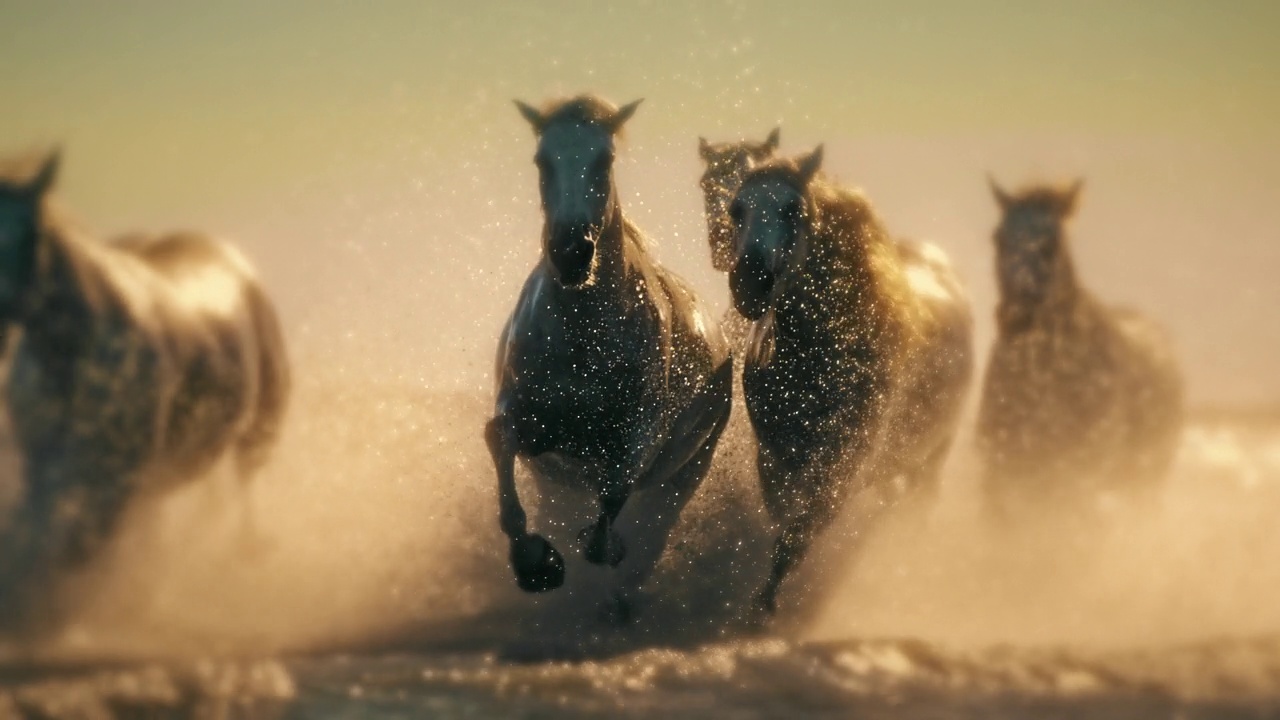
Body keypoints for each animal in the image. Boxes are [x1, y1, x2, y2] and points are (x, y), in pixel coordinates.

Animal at [0, 148, 290, 625]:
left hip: (257, 429)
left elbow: (80, 551)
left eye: (29, 234)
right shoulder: (43, 466)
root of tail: (232, 259)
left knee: (244, 494)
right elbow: (37, 534)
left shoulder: (121, 476)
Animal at [486, 94, 737, 622]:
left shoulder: (638, 437)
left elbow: (613, 500)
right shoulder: (526, 417)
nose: (571, 253)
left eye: (605, 160)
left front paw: (598, 551)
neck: (585, 339)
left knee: (653, 533)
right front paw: (535, 562)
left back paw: (621, 600)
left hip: (688, 473)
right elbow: (499, 439)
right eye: (542, 161)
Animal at [727, 147, 972, 617]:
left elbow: (798, 533)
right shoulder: (774, 455)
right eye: (736, 209)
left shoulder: (842, 465)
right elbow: (784, 518)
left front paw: (765, 607)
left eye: (794, 209)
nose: (749, 283)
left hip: (930, 461)